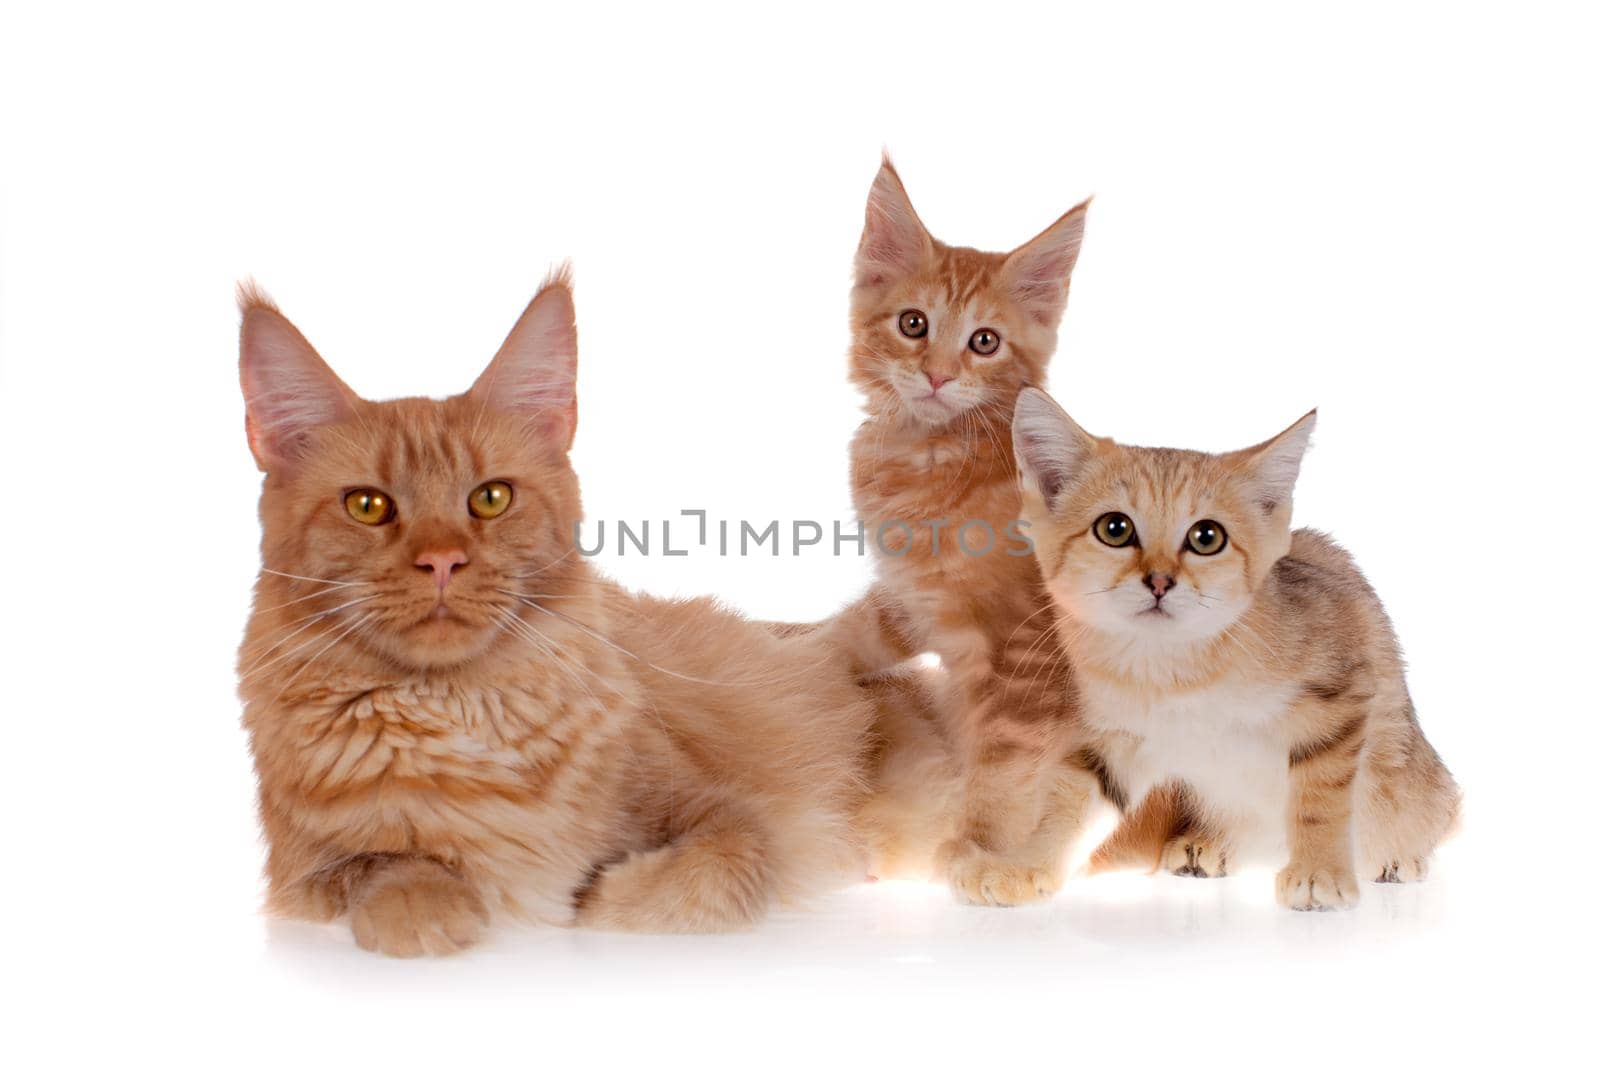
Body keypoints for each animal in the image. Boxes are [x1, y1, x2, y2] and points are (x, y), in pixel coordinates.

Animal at [233, 273, 876, 953]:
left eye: (490, 498)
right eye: (368, 506)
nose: (442, 561)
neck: (459, 707)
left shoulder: (726, 809)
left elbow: (715, 874)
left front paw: (596, 900)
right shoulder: (301, 869)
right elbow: (388, 867)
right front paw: (434, 912)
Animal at [1011, 388, 1465, 908]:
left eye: (1207, 537)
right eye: (1115, 529)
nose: (1160, 581)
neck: (1174, 671)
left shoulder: (1342, 690)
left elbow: (1322, 797)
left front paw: (1319, 871)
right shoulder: (1116, 735)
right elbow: (1072, 797)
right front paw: (1024, 865)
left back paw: (1399, 856)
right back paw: (1207, 844)